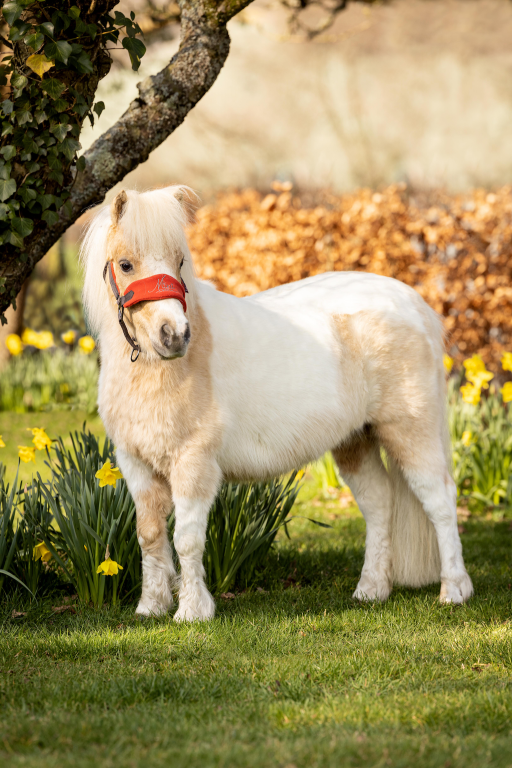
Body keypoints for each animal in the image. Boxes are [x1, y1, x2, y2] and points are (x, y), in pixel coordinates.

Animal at [81, 185, 473, 621]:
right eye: (126, 264)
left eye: (180, 261)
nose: (174, 335)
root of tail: (415, 304)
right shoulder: (136, 464)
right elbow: (149, 535)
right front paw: (150, 607)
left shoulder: (193, 462)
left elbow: (186, 539)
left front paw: (192, 612)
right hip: (356, 440)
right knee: (379, 504)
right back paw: (371, 590)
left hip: (411, 432)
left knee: (440, 501)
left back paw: (454, 591)